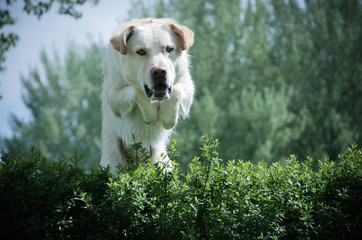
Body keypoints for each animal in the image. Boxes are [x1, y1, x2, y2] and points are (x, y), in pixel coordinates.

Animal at [99, 17, 195, 173]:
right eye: (141, 51)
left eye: (169, 49)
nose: (159, 72)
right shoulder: (113, 97)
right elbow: (137, 91)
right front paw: (151, 116)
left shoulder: (186, 85)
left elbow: (176, 90)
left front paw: (168, 118)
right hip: (113, 167)